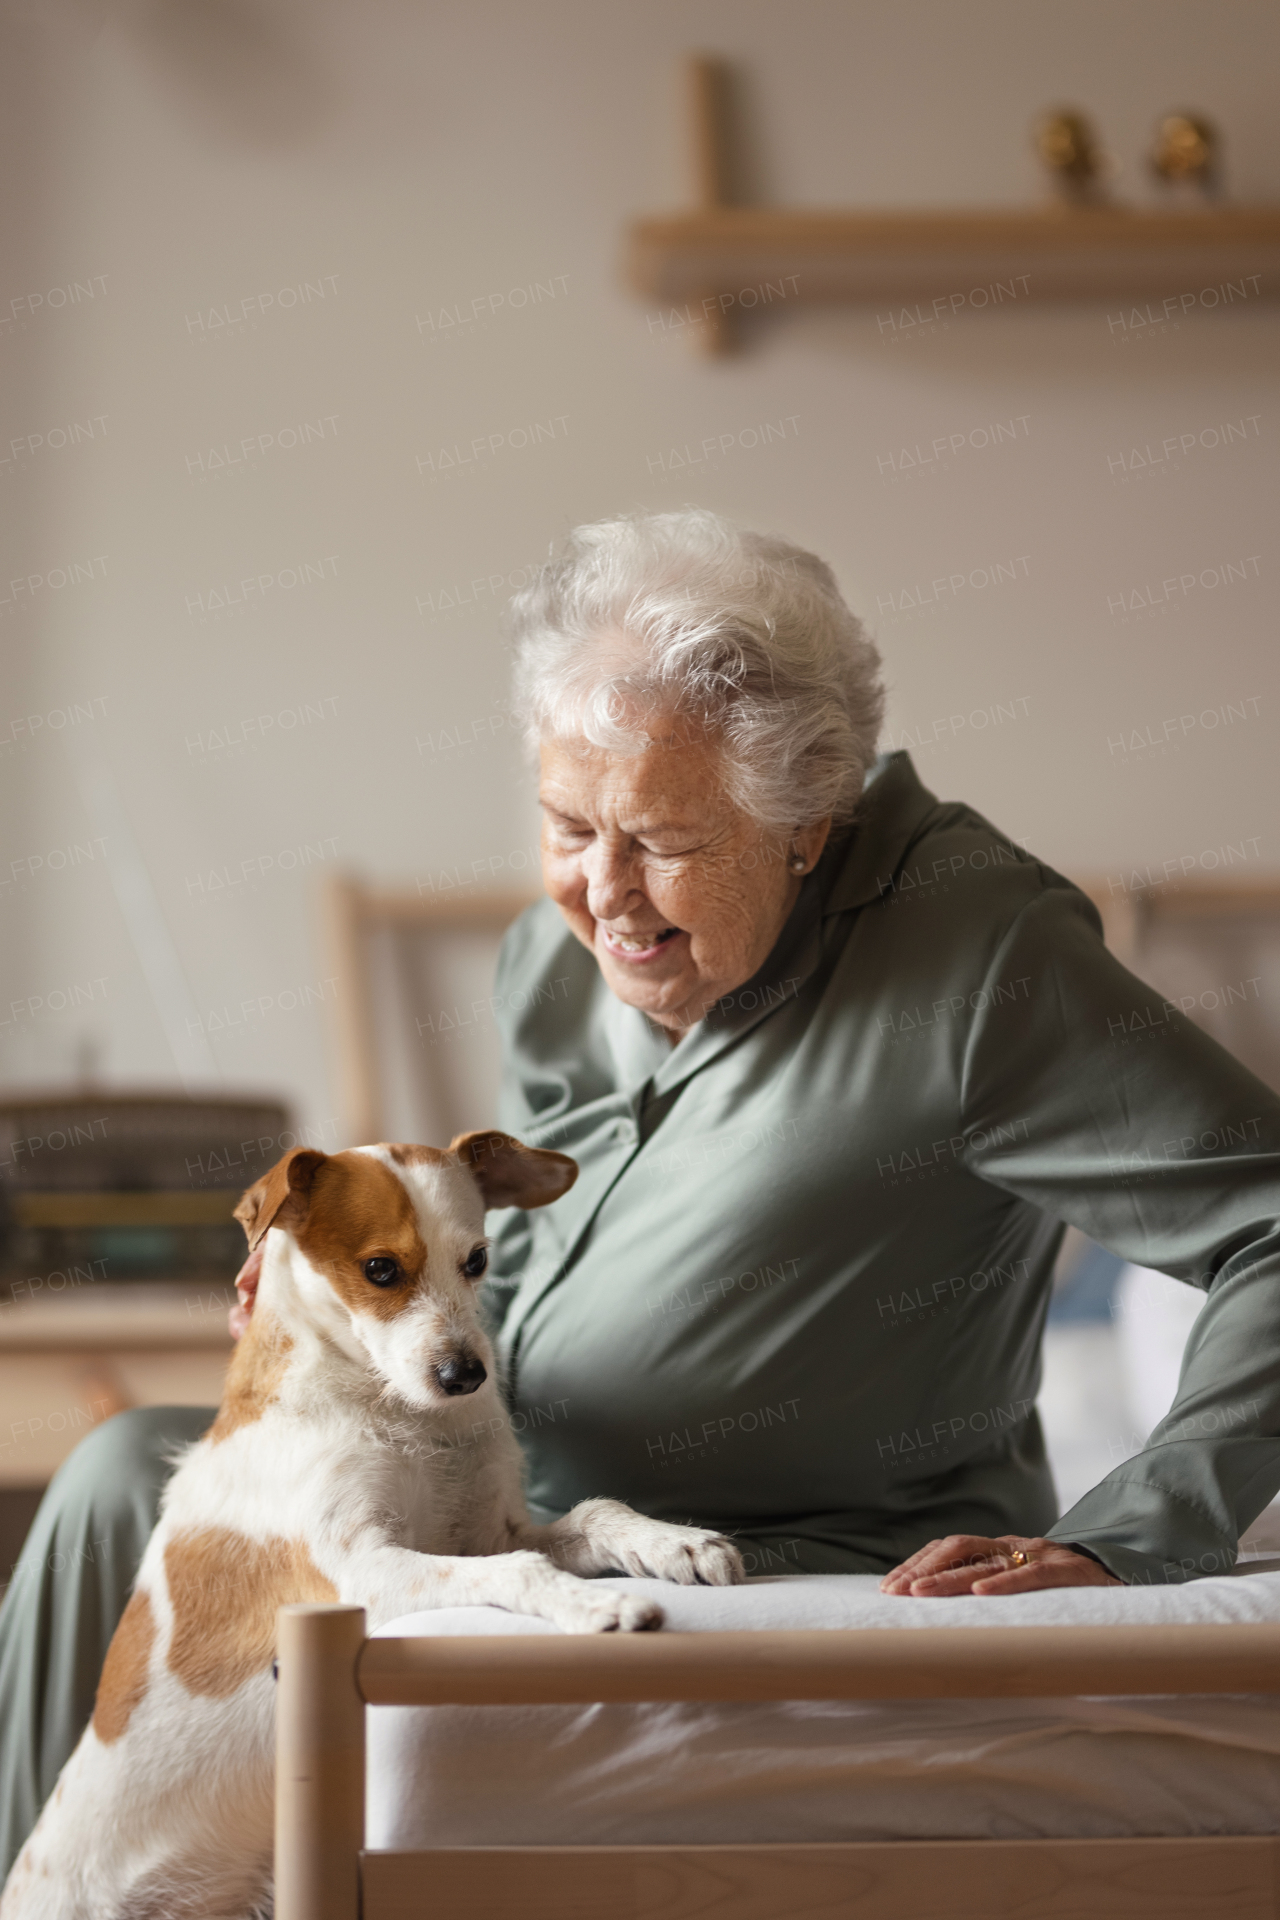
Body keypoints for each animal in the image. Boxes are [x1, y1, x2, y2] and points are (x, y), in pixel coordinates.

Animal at [2, 1128, 740, 1920]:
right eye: (380, 1269)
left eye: (477, 1260)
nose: (466, 1376)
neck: (395, 1411)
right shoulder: (363, 1567)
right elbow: (521, 1571)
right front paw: (596, 1603)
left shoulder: (486, 1534)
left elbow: (596, 1514)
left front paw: (677, 1542)